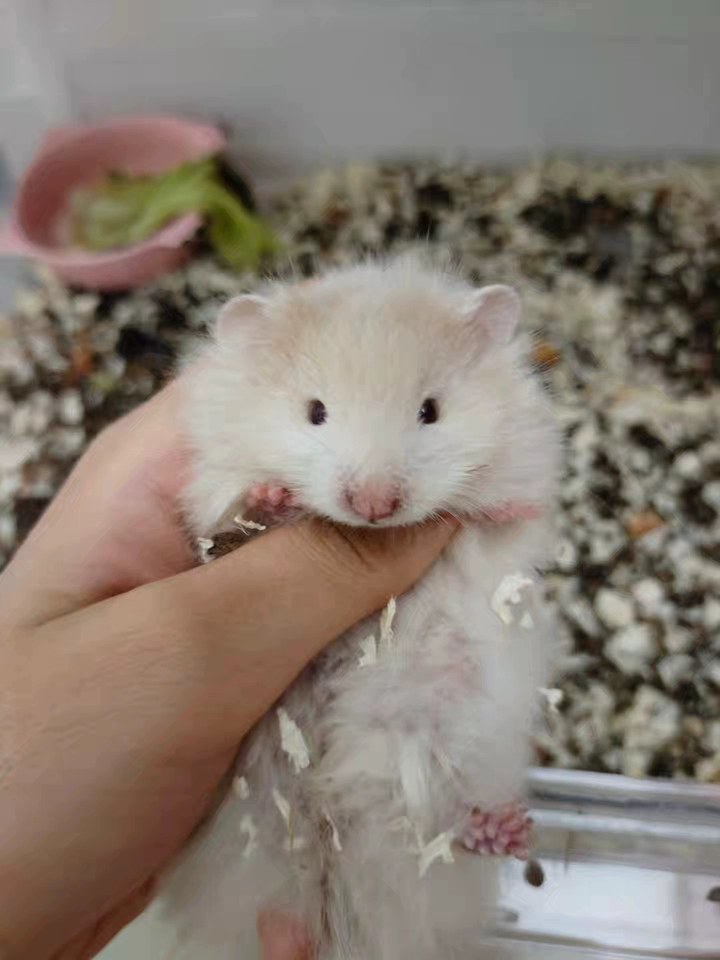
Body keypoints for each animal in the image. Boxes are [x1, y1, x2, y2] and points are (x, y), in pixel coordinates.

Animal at [159, 257, 561, 960]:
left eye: (430, 410)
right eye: (315, 411)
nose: (374, 505)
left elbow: (503, 522)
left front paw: (493, 504)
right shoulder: (207, 504)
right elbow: (236, 516)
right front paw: (273, 496)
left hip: (443, 739)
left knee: (443, 819)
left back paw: (503, 829)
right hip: (247, 816)